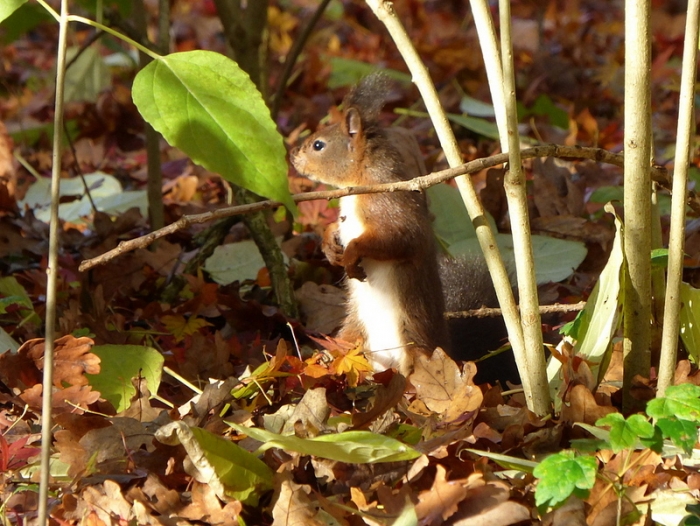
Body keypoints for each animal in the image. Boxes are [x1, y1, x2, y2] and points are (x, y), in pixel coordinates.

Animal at [291, 73, 509, 378]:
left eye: (318, 145)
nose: (292, 155)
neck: (361, 184)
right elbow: (336, 230)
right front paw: (329, 245)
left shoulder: (390, 207)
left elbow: (399, 239)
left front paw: (351, 254)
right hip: (353, 332)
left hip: (414, 344)